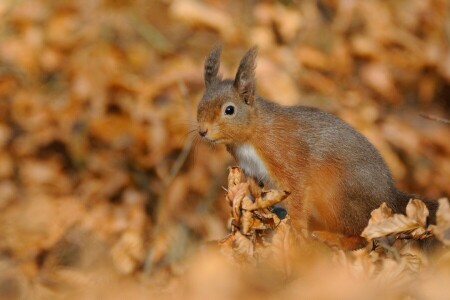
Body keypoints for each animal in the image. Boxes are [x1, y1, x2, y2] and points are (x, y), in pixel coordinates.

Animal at [196, 46, 436, 248]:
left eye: (229, 110)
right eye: (200, 104)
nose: (202, 131)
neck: (249, 137)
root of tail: (389, 196)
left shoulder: (285, 155)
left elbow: (297, 192)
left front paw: (297, 231)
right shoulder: (251, 170)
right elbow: (257, 194)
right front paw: (259, 214)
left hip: (335, 196)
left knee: (362, 235)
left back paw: (333, 237)